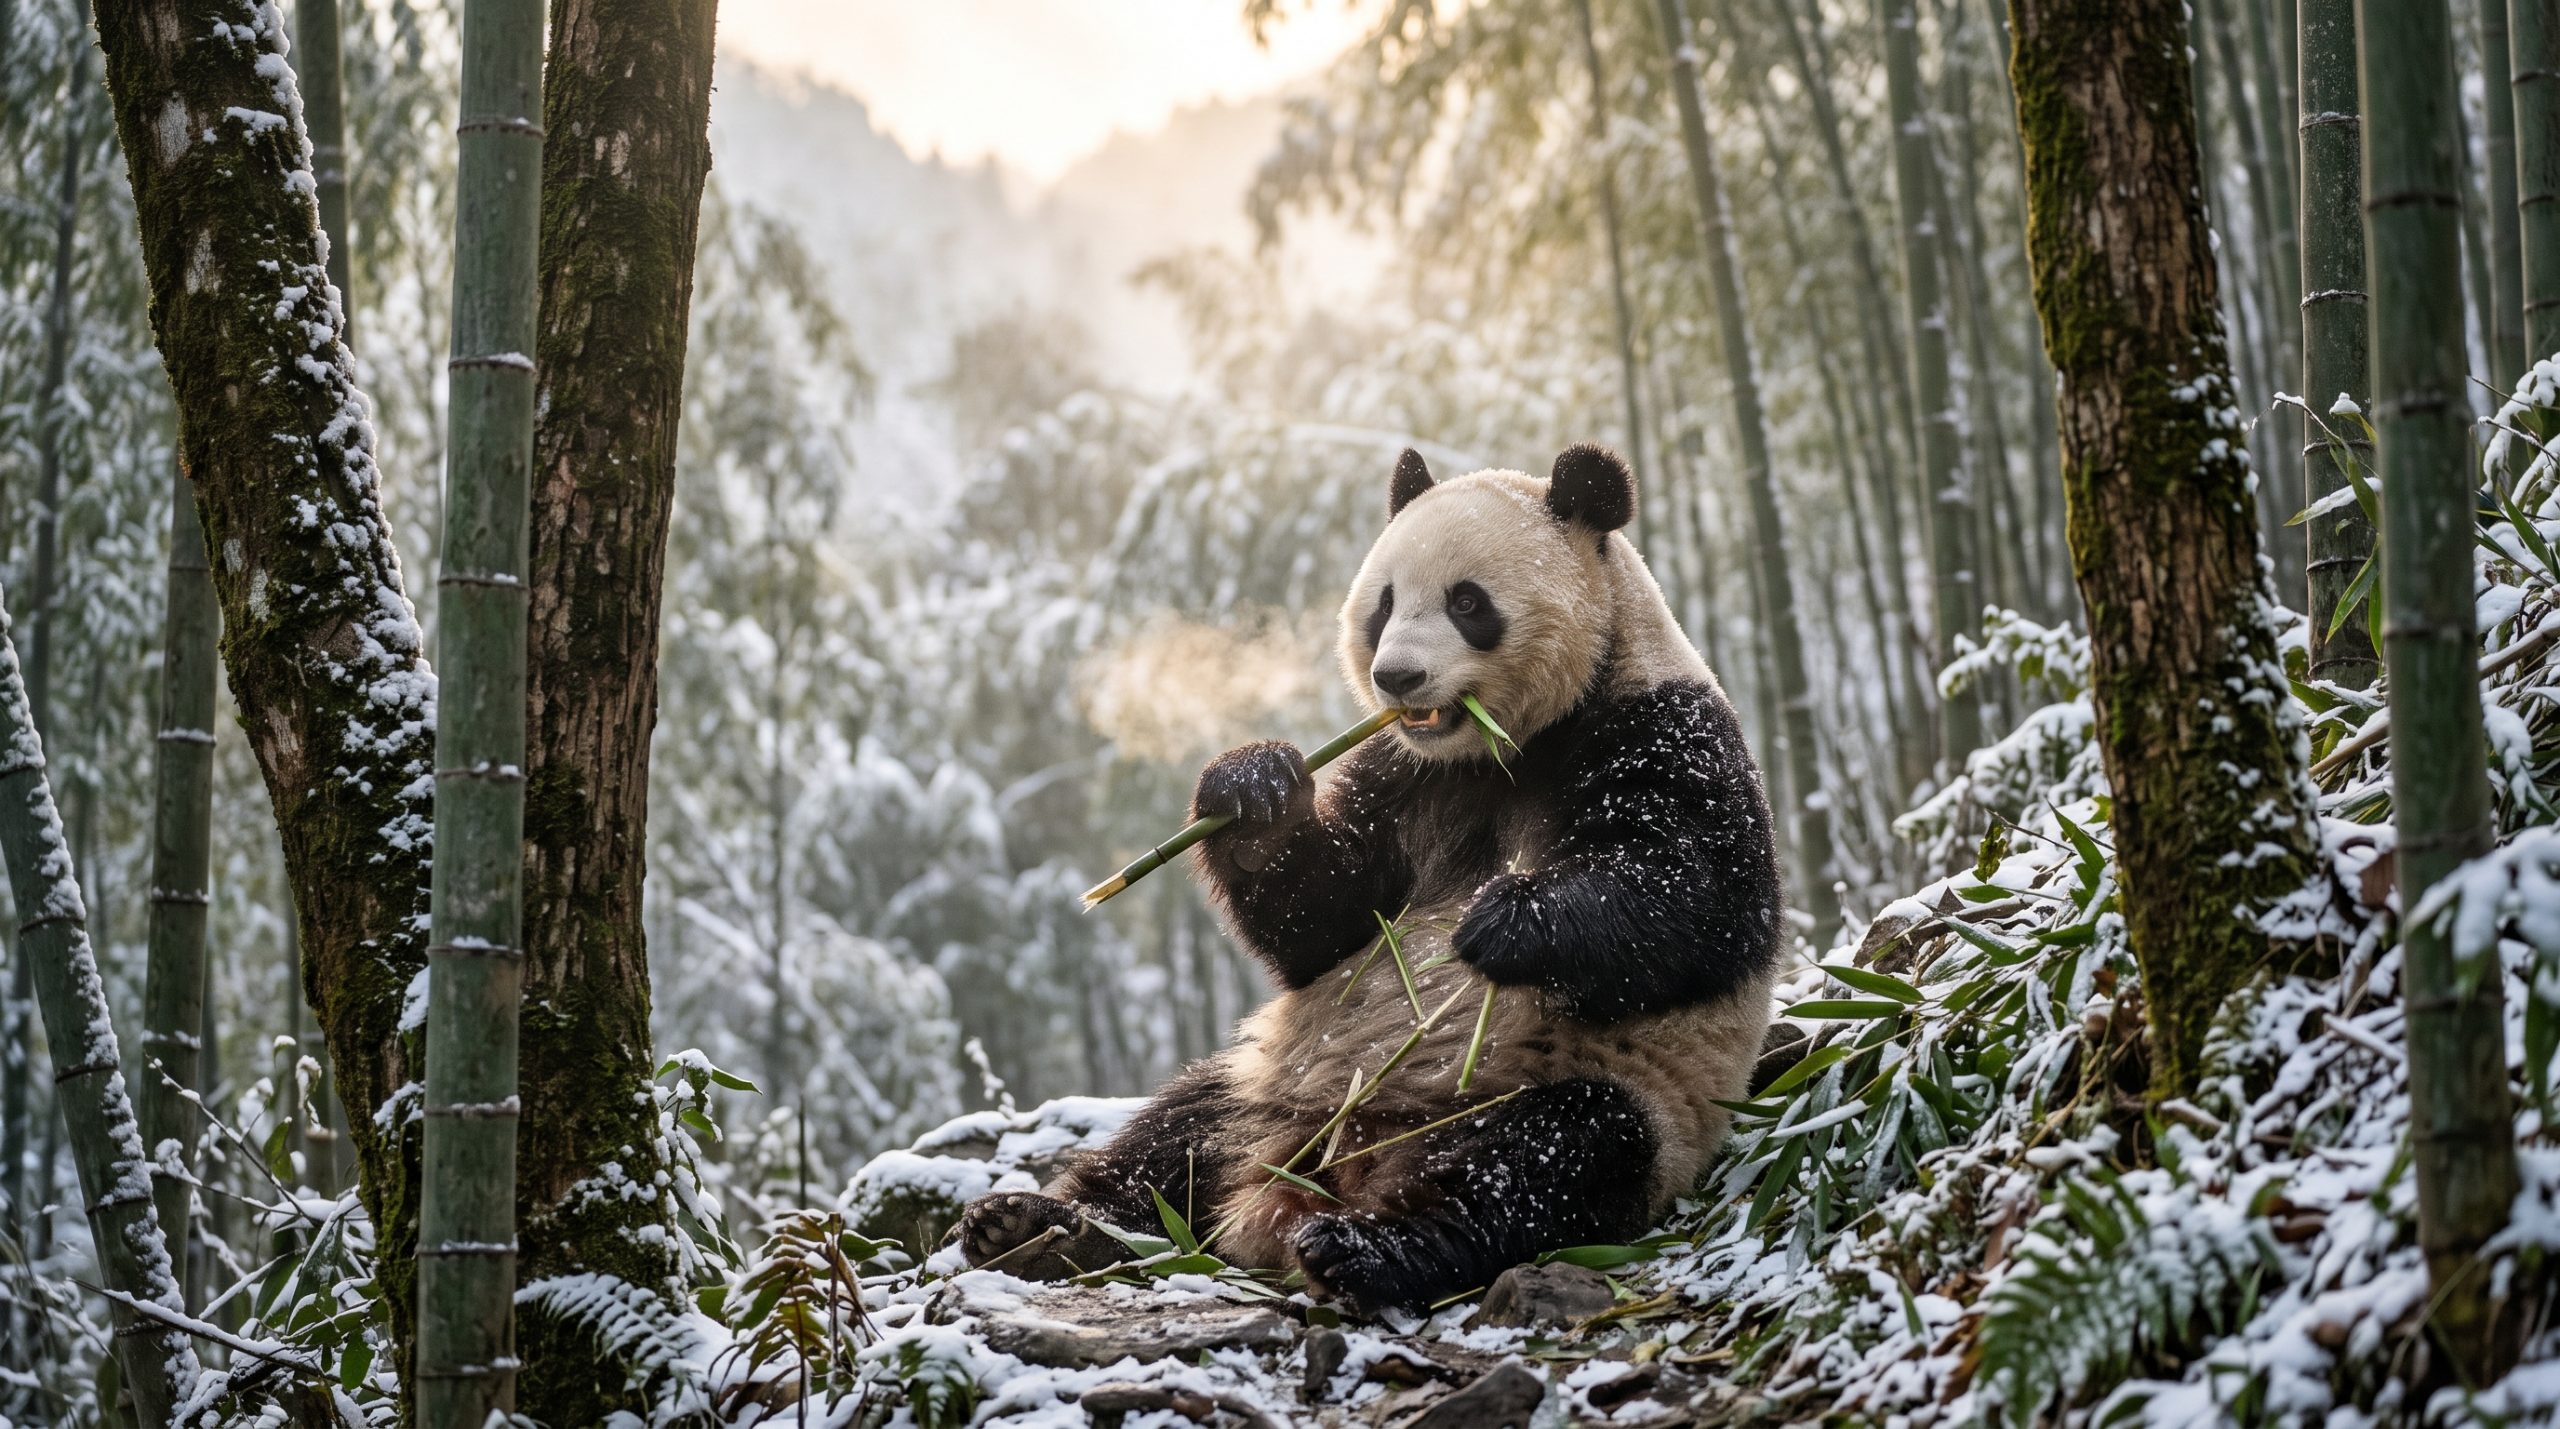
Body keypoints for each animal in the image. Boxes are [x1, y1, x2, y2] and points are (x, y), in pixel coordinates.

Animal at [959, 444, 1784, 1314]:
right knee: (1170, 1140)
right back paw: (1040, 1226)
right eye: (1384, 605)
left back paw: (1364, 1247)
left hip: (1591, 1091)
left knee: (1546, 1157)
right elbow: (1329, 920)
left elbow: (1704, 903)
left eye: (1467, 602)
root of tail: (1313, 1174)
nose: (1397, 678)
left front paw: (1503, 922)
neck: (1500, 745)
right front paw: (1253, 790)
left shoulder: (1660, 727)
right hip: (1267, 1086)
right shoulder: (1404, 772)